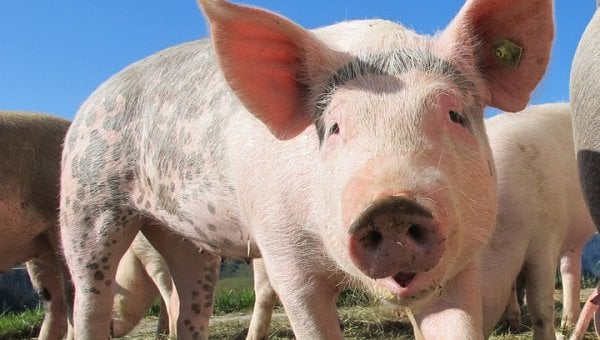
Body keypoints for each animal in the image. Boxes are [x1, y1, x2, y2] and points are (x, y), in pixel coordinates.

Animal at [58, 0, 556, 338]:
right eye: (334, 127)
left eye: (454, 115)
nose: (393, 207)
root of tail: (91, 100)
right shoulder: (283, 254)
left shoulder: (464, 260)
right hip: (87, 197)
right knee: (88, 300)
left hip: (184, 239)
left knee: (188, 305)